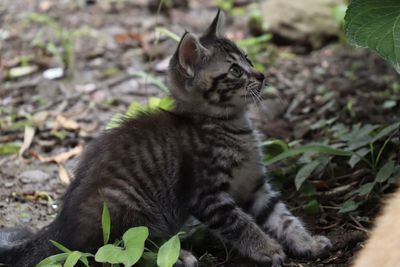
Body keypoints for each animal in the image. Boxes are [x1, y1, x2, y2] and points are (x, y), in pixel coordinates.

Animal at [0, 10, 332, 267]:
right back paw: (181, 255)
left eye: (248, 59)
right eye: (236, 71)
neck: (232, 126)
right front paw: (266, 248)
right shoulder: (206, 195)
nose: (261, 75)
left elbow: (283, 217)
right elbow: (241, 224)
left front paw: (307, 242)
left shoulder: (256, 187)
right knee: (119, 248)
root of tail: (58, 229)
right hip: (126, 205)